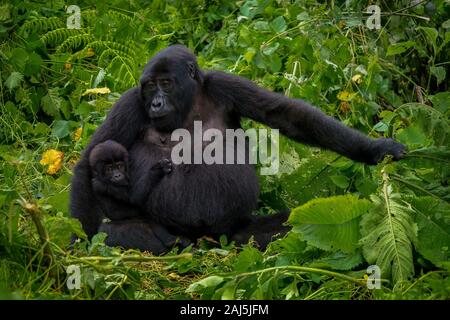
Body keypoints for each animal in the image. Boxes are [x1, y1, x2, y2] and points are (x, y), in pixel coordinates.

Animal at [71, 44, 408, 250]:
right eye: (149, 86)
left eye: (165, 84)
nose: (155, 103)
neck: (189, 101)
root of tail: (208, 240)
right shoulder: (131, 101)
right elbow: (91, 159)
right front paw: (78, 243)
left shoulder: (224, 85)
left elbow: (287, 115)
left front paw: (375, 149)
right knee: (115, 233)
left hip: (233, 232)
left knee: (296, 224)